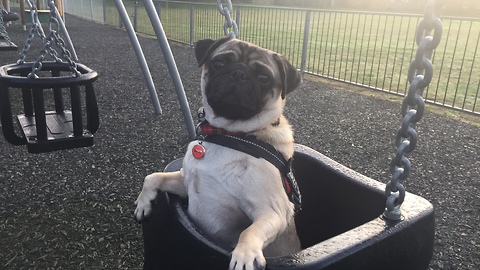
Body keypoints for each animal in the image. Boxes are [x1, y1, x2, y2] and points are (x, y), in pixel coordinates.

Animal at [133, 36, 302, 270]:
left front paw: (245, 255)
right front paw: (143, 203)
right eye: (219, 63)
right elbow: (153, 177)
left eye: (264, 78)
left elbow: (249, 231)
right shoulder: (184, 183)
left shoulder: (273, 211)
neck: (228, 134)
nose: (239, 73)